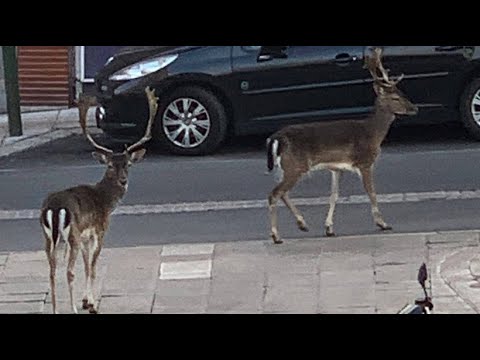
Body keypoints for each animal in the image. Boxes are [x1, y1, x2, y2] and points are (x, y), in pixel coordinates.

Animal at [39, 86, 159, 312]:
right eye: (110, 165)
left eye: (128, 164)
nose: (123, 180)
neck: (105, 201)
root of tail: (54, 208)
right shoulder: (99, 230)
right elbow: (93, 267)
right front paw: (91, 304)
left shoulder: (86, 236)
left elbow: (87, 266)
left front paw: (86, 300)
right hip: (72, 235)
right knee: (69, 271)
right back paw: (72, 308)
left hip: (48, 236)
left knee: (51, 270)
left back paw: (56, 309)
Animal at [264, 47, 418, 245]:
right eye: (395, 97)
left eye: (402, 93)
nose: (415, 108)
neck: (372, 133)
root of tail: (276, 138)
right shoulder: (364, 162)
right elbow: (371, 191)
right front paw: (383, 223)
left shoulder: (336, 168)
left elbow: (334, 195)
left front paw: (329, 228)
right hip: (294, 165)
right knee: (274, 194)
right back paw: (276, 236)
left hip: (287, 167)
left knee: (282, 193)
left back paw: (302, 224)